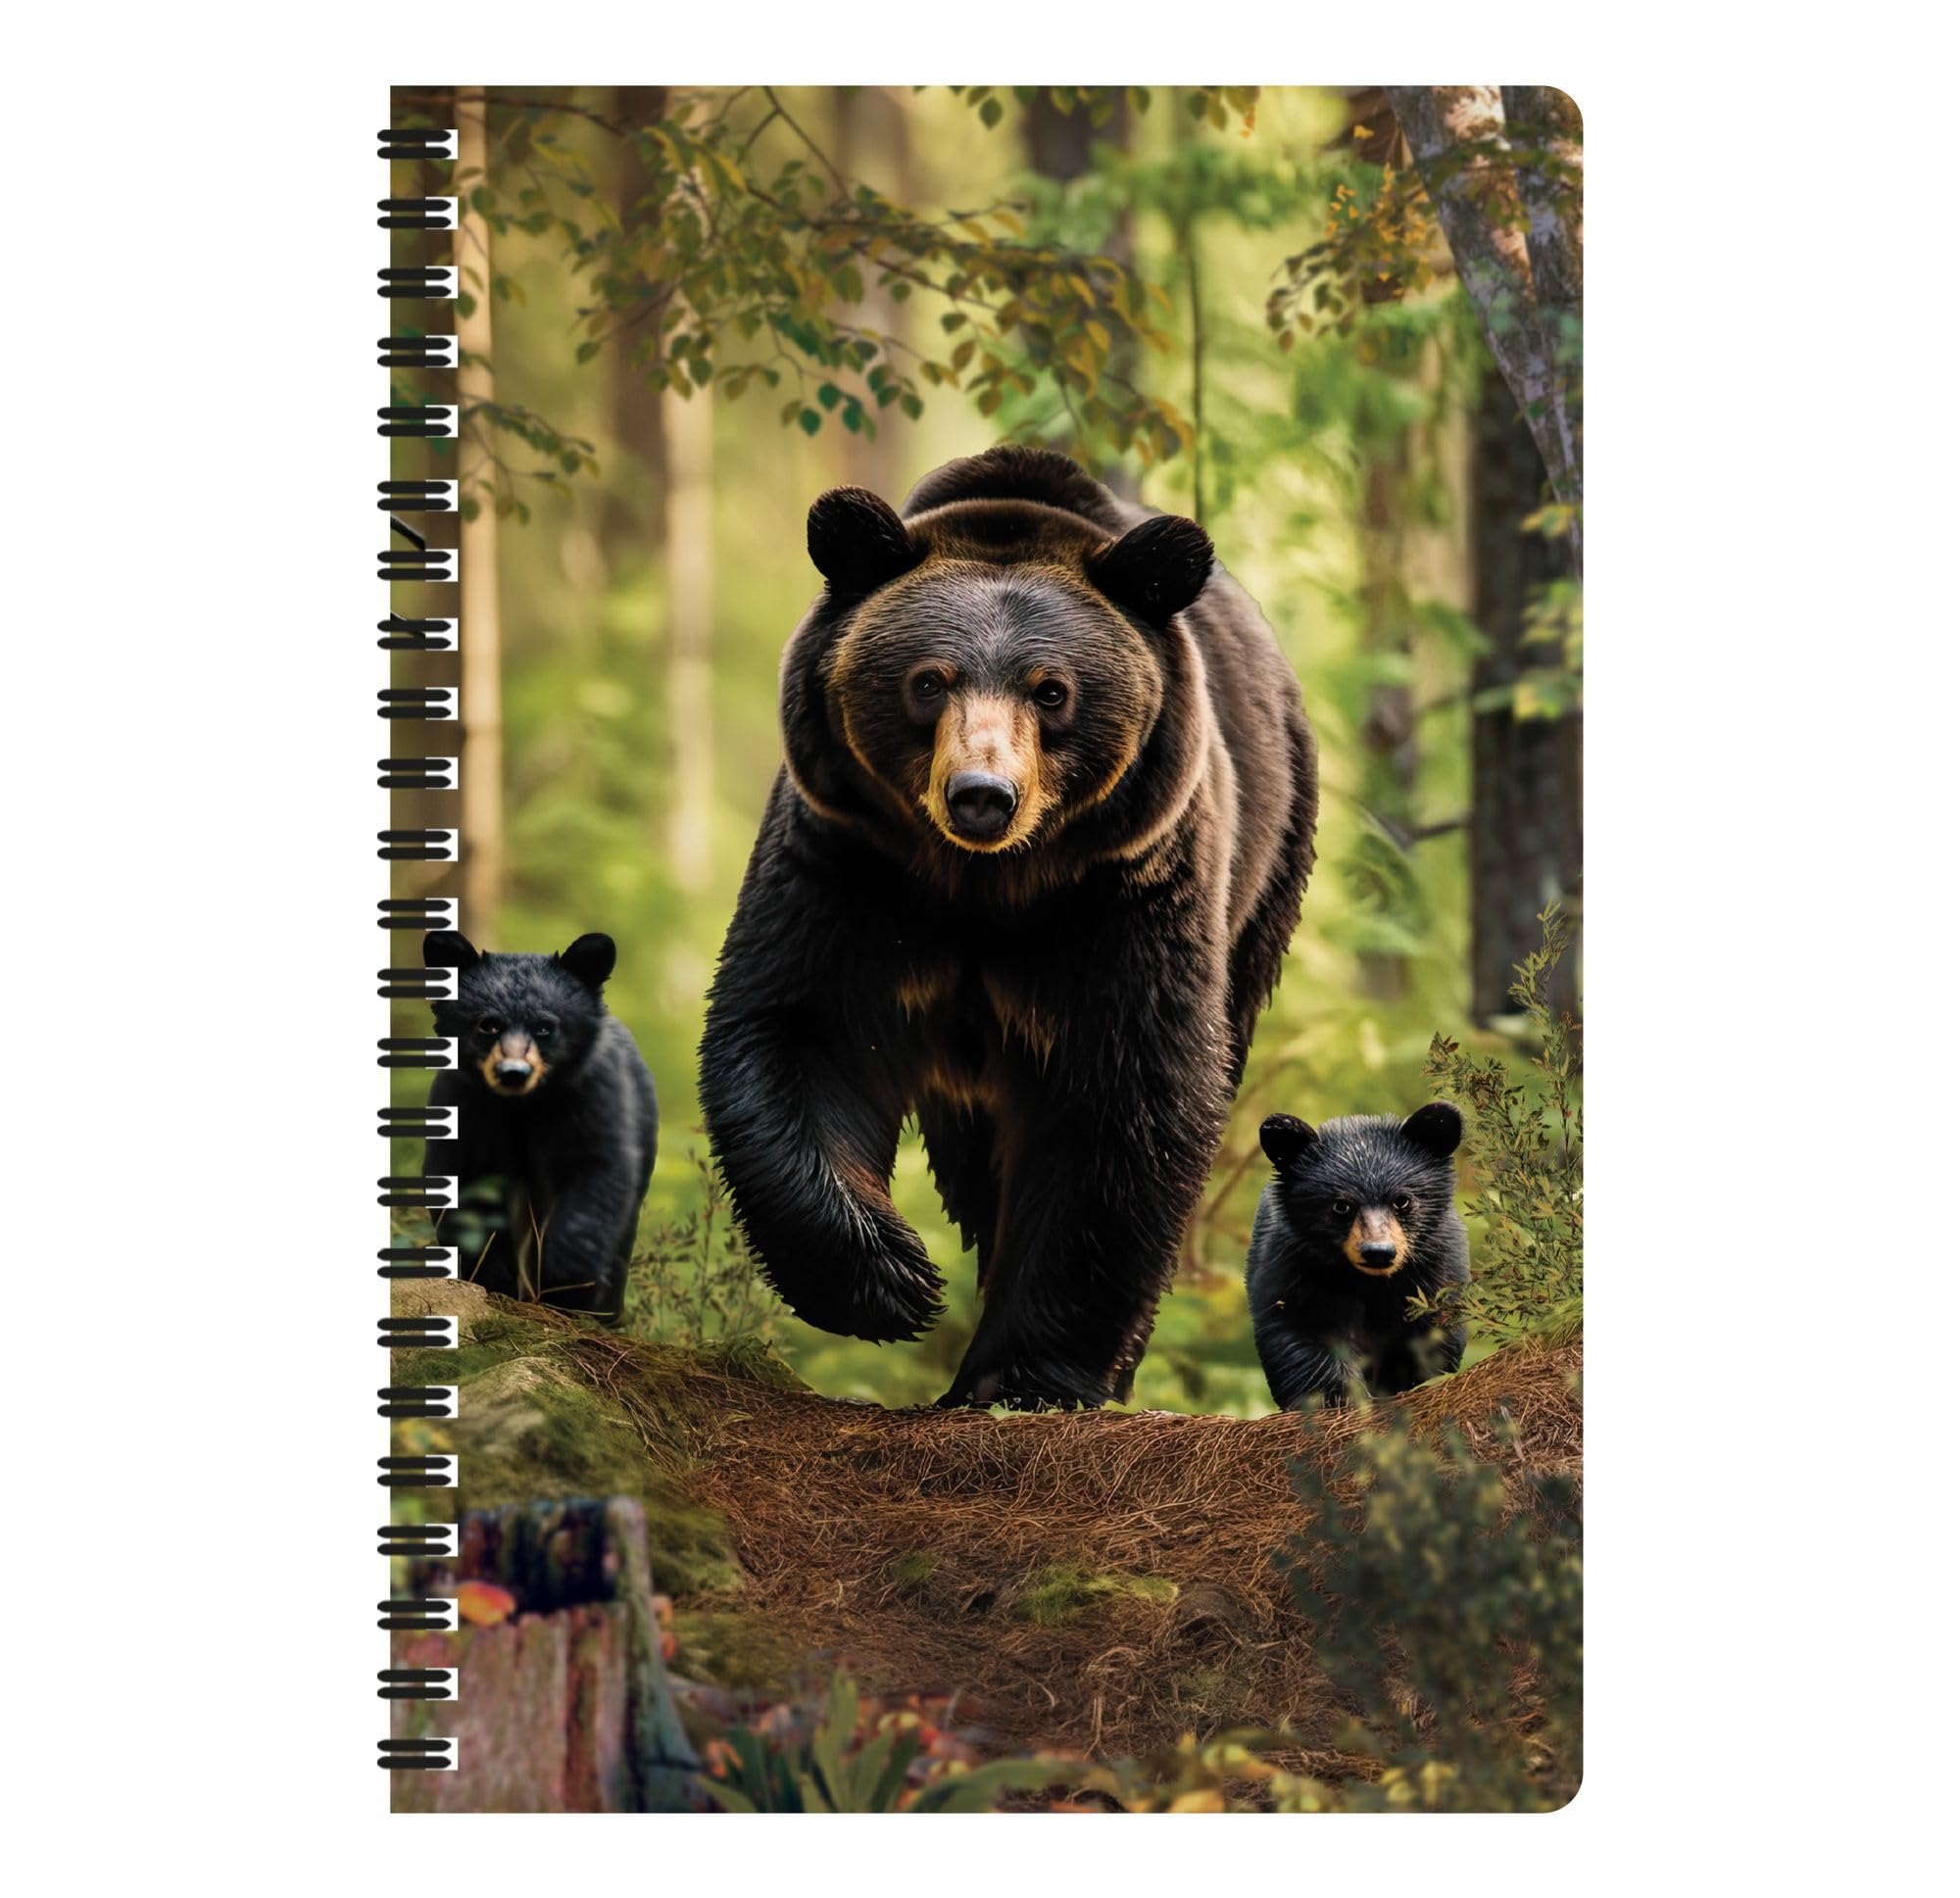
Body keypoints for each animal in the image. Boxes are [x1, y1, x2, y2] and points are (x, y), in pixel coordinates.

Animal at [420, 929, 657, 1325]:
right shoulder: (465, 1106)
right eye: (488, 1024)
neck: (522, 1107)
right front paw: (491, 1277)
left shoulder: (592, 1099)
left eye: (545, 1027)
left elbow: (595, 1180)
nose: (513, 1073)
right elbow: (463, 1184)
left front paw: (566, 1286)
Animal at [697, 444, 1318, 1409]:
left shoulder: (1124, 890)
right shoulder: (850, 860)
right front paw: (892, 1279)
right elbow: (806, 1033)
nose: (982, 795)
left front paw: (1024, 1371)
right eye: (928, 680)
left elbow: (1125, 1100)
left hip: (1268, 861)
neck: (984, 886)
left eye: (1052, 690)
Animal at [1245, 1102, 1469, 1409]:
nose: (1378, 1252)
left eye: (1401, 1200)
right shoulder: (1292, 1262)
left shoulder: (1436, 1263)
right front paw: (1339, 1396)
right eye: (1342, 1205)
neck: (1366, 1282)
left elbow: (1435, 1334)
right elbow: (1295, 1329)